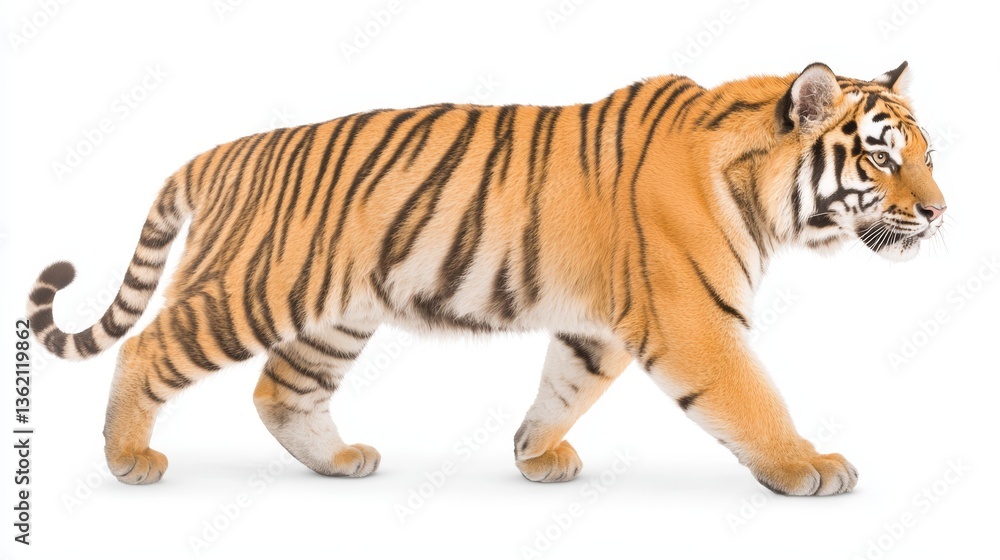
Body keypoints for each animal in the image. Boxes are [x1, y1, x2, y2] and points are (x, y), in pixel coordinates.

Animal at [26, 61, 945, 496]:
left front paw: (535, 456)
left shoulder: (600, 329)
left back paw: (340, 462)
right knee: (147, 348)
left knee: (281, 391)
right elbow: (753, 399)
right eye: (880, 156)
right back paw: (128, 458)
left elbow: (563, 388)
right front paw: (808, 467)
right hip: (253, 291)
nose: (940, 213)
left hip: (333, 316)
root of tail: (221, 151)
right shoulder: (694, 319)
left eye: (928, 154)